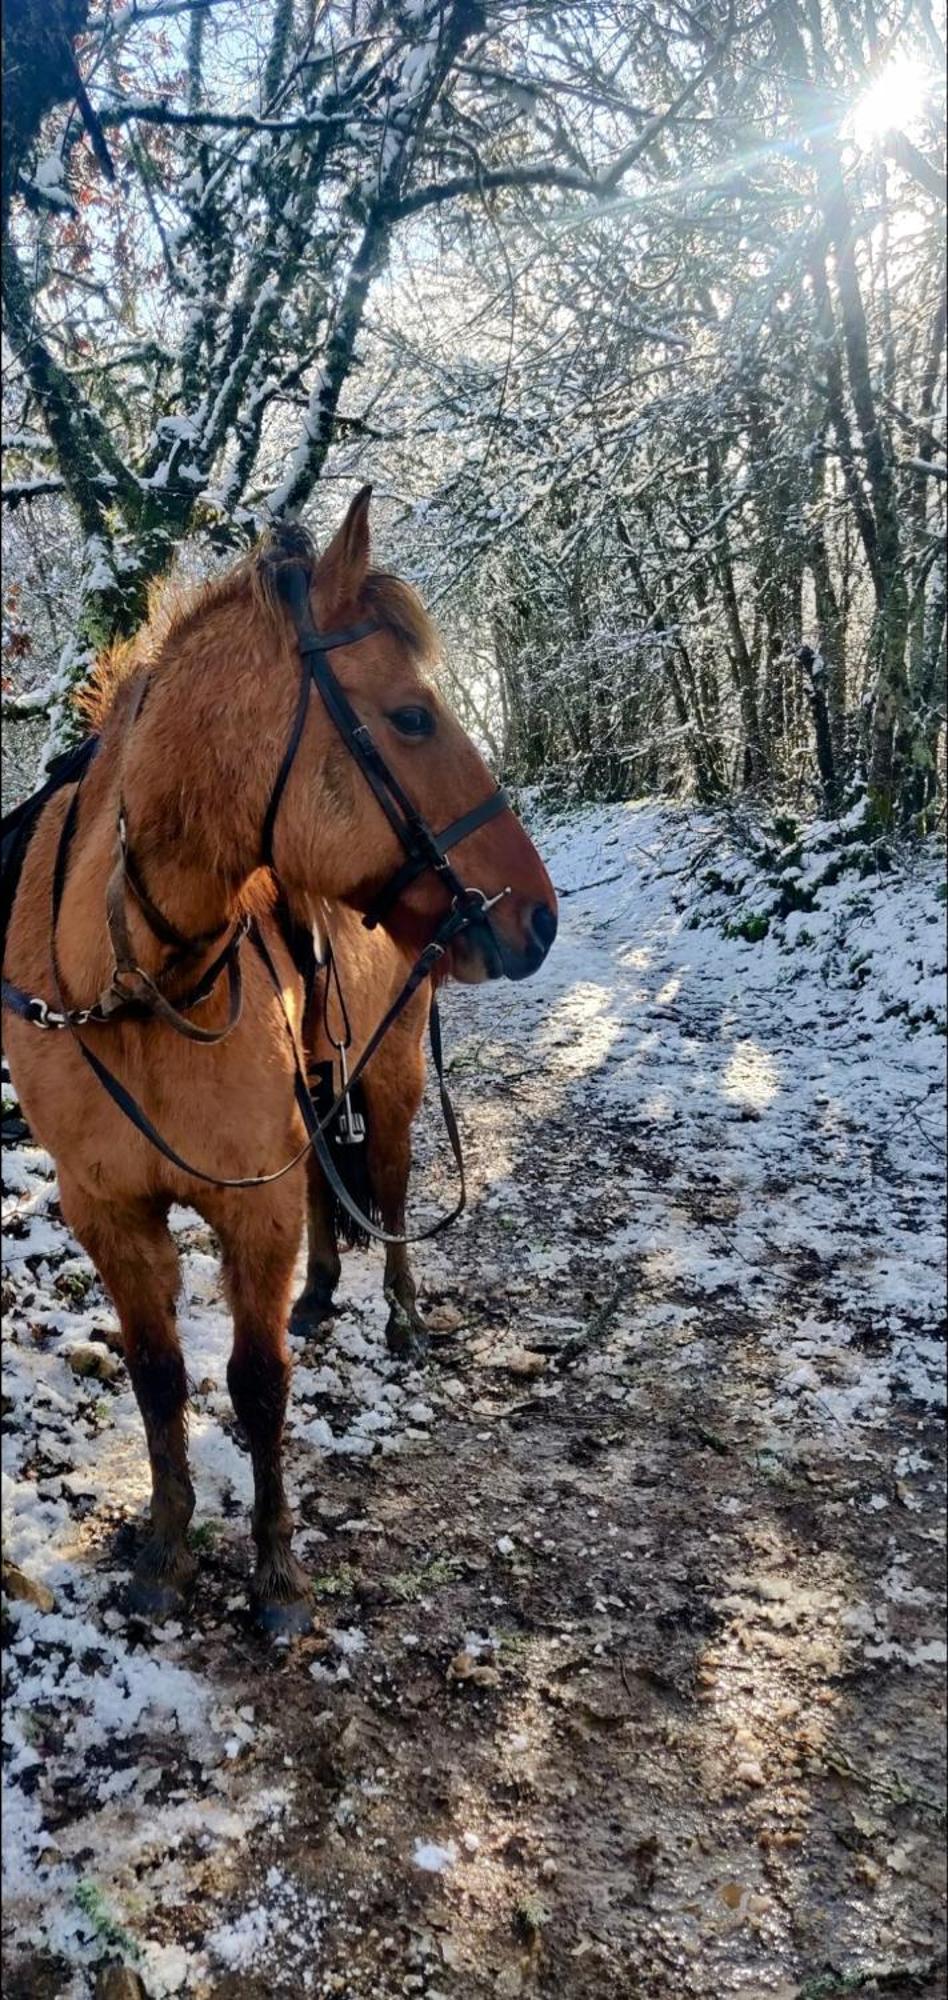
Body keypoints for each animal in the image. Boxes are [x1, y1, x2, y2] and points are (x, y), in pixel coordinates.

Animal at [1, 492, 556, 1632]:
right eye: (412, 718)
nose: (538, 916)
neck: (131, 984)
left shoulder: (247, 1205)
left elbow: (259, 1383)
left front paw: (275, 1569)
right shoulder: (107, 1208)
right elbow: (159, 1377)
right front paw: (166, 1549)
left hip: (392, 1077)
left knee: (388, 1186)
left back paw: (399, 1313)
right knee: (326, 1192)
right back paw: (325, 1289)